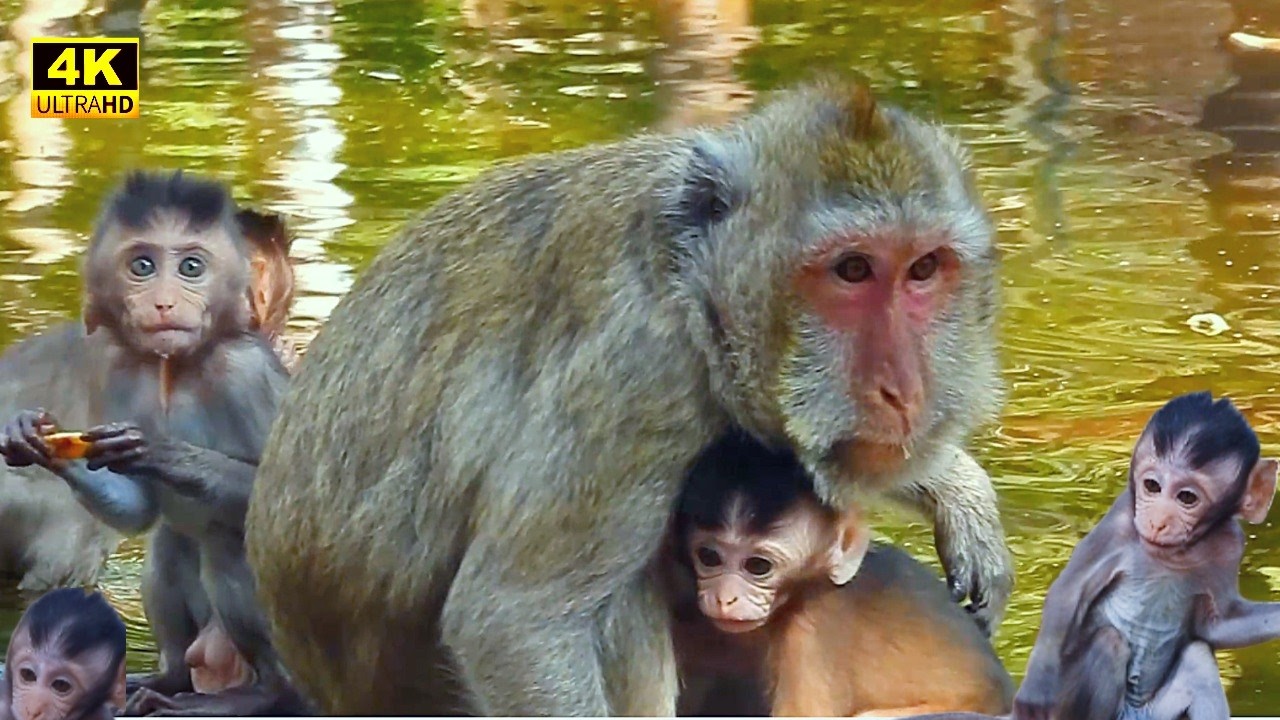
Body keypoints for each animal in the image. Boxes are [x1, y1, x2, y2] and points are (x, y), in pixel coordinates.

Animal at [1013, 391, 1280, 720]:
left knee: (1197, 657)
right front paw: (1037, 685)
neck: (1176, 553)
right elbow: (1070, 590)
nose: (1158, 521)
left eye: (1187, 497)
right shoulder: (1121, 521)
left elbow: (1217, 626)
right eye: (1152, 486)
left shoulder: (1230, 545)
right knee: (1110, 641)